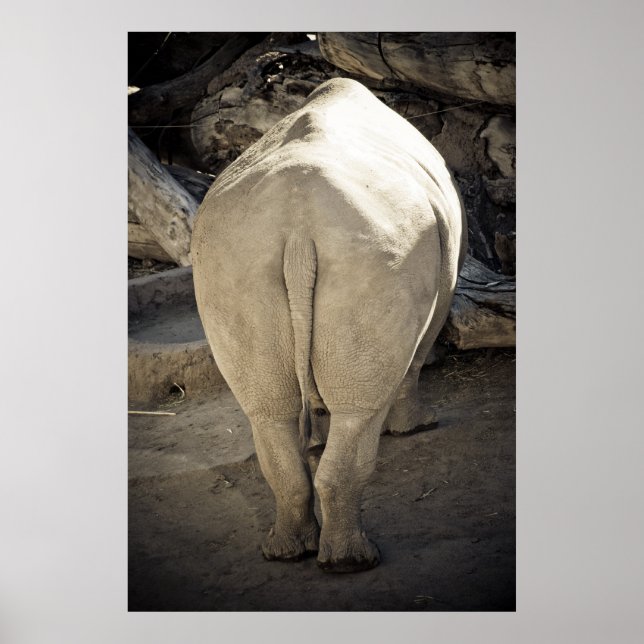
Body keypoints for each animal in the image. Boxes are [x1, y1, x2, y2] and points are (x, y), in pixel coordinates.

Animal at [192, 78, 467, 573]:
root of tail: (299, 228)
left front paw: (317, 434)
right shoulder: (445, 278)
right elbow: (417, 356)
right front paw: (417, 427)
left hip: (232, 250)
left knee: (268, 410)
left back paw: (286, 553)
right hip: (376, 247)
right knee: (361, 407)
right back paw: (353, 563)